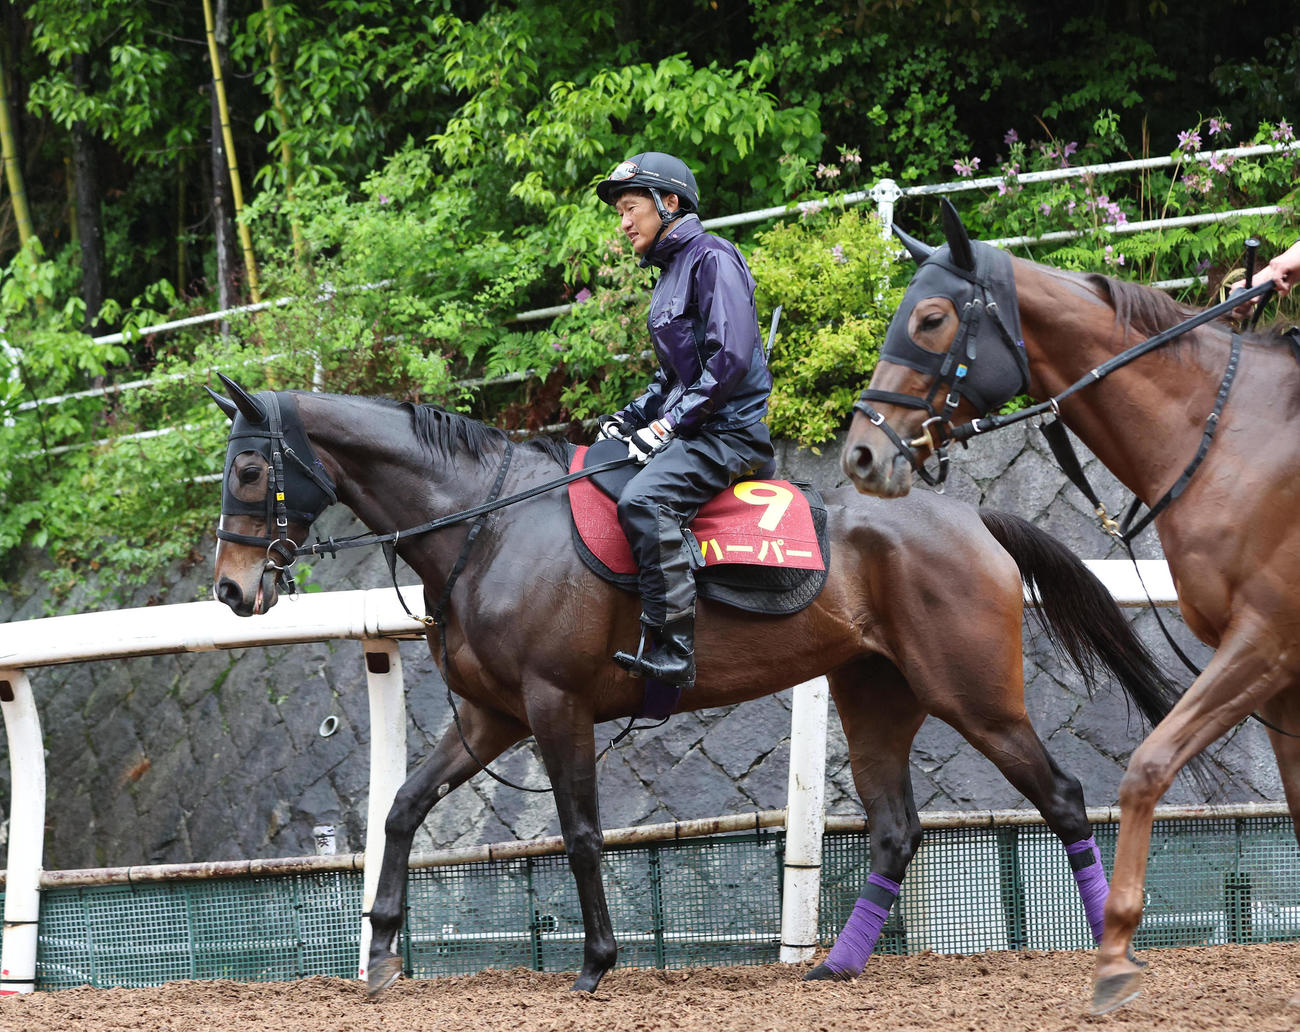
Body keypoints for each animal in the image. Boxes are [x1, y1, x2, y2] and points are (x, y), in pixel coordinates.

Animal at [206, 372, 1181, 997]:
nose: (230, 591)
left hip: (974, 695)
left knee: (1061, 795)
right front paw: (379, 952)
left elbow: (582, 835)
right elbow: (403, 810)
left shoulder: (555, 706)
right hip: (875, 696)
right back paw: (836, 966)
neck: (488, 528)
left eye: (250, 471)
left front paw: (597, 963)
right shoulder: (489, 718)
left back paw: (1109, 942)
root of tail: (970, 516)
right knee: (896, 830)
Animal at [839, 200, 1299, 1013]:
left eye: (931, 318)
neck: (1230, 441)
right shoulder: (1279, 672)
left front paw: (1115, 952)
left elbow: (1147, 766)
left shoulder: (1265, 642)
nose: (863, 454)